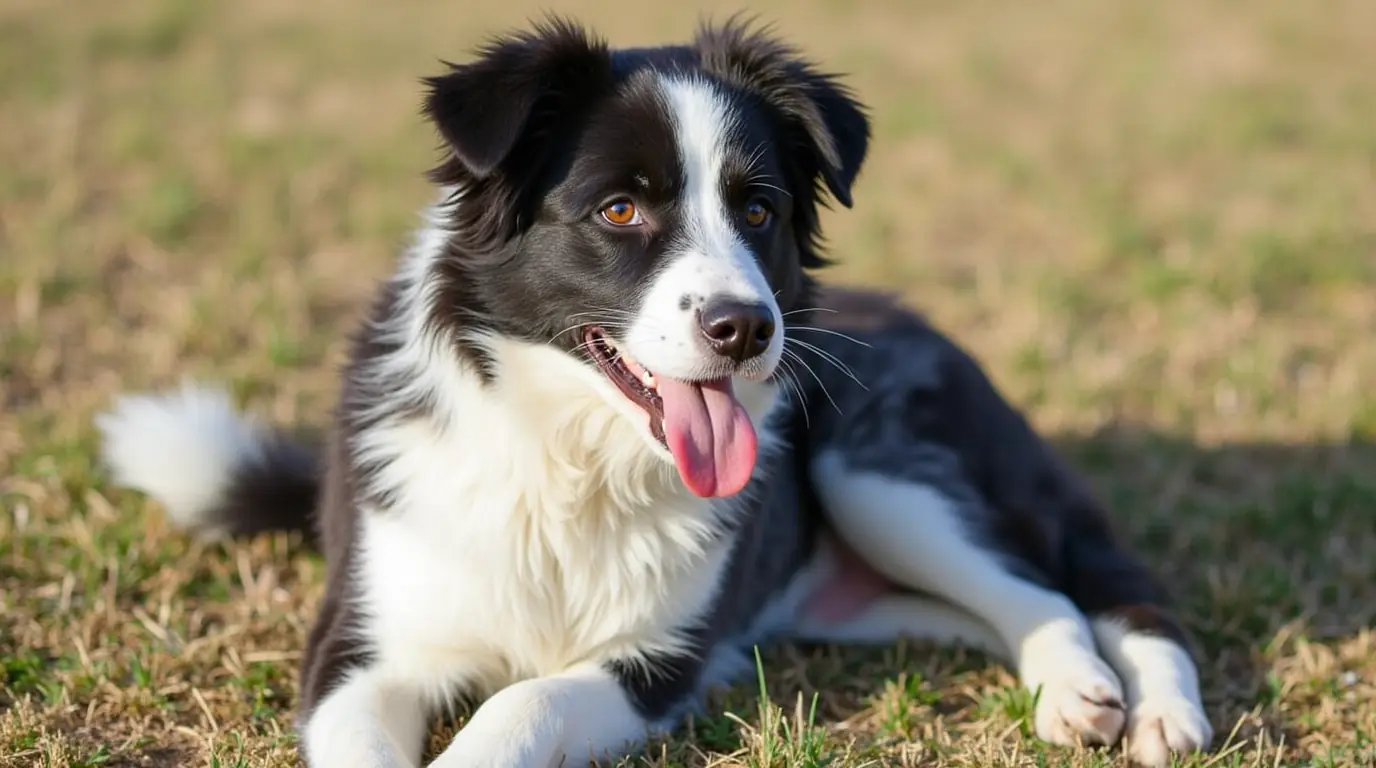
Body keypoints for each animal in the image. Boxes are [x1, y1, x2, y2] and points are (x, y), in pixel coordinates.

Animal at [99, 18, 1216, 768]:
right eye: (620, 209)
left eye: (759, 209)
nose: (745, 329)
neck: (565, 458)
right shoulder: (360, 648)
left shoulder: (652, 663)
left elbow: (518, 710)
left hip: (879, 469)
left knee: (1067, 591)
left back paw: (1121, 701)